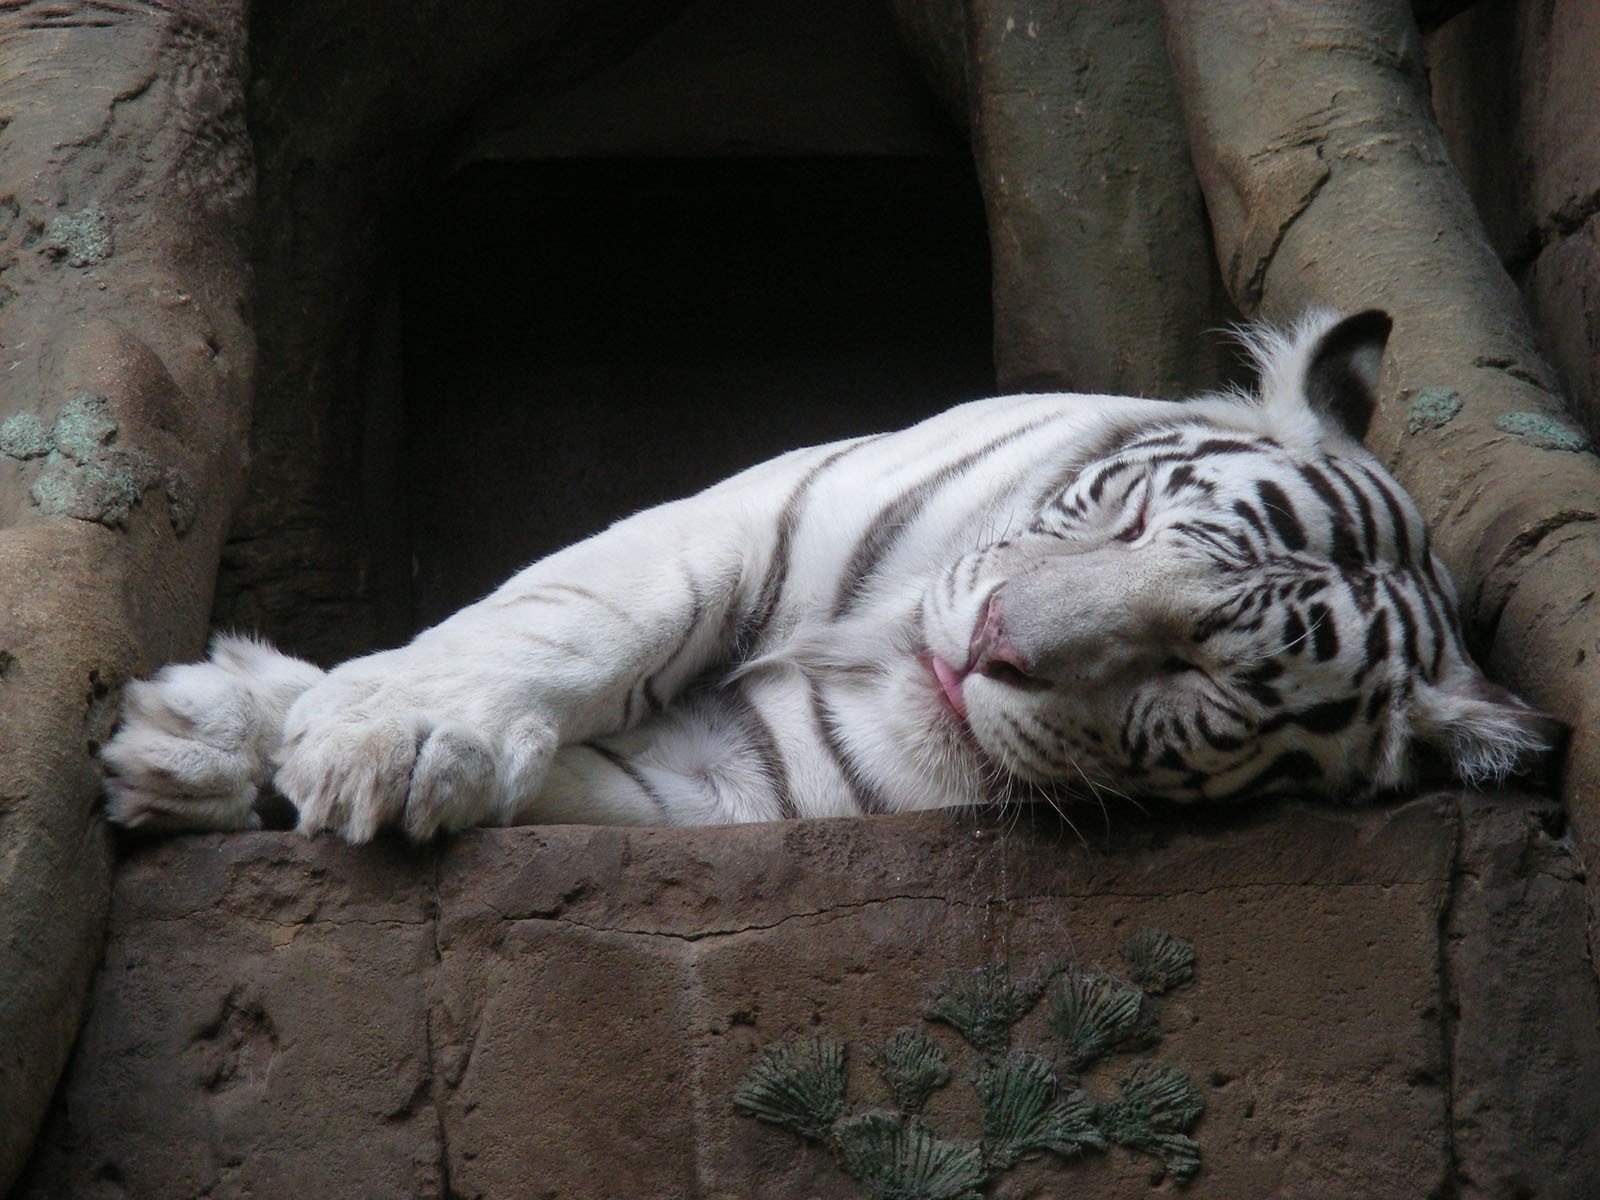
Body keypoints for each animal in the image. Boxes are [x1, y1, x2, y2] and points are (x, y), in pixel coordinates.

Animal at [102, 310, 1565, 842]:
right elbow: (576, 618)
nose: (988, 644)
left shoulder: (738, 785)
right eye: (1134, 519)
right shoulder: (759, 511)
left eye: (1195, 675)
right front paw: (370, 738)